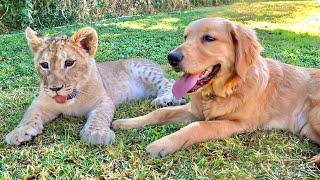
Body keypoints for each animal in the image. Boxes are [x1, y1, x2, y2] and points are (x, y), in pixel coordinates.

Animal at [111, 17, 318, 162]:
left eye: (209, 38)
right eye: (185, 37)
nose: (171, 57)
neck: (224, 90)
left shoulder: (238, 123)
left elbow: (198, 126)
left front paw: (162, 144)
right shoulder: (193, 111)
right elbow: (160, 113)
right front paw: (126, 122)